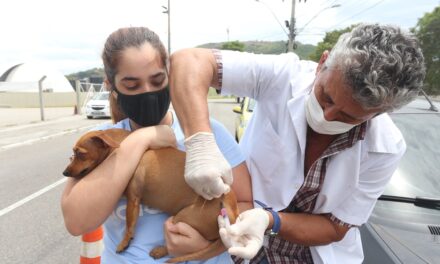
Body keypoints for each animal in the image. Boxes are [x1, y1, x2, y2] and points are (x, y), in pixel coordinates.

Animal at [62, 128, 237, 262]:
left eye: (80, 153)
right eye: (72, 154)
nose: (65, 173)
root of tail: (230, 208)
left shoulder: (133, 199)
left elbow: (129, 225)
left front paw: (124, 242)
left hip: (182, 218)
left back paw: (160, 251)